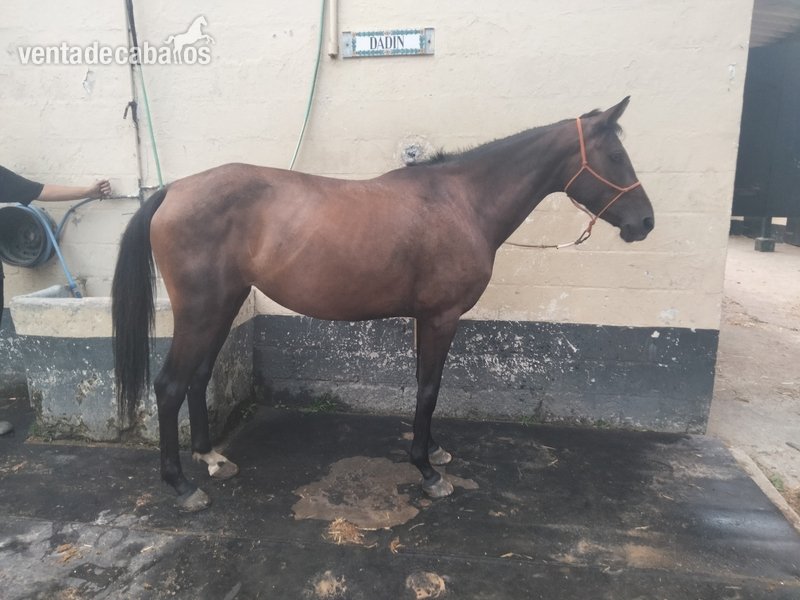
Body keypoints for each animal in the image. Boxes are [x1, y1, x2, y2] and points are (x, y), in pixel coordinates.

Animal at [112, 97, 654, 512]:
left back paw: (211, 459)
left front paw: (433, 451)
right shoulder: (441, 318)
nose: (645, 222)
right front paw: (427, 472)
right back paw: (182, 486)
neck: (461, 201)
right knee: (169, 386)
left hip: (225, 304)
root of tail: (172, 191)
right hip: (200, 311)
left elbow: (423, 384)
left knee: (198, 376)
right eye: (615, 155)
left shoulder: (426, 320)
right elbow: (429, 390)